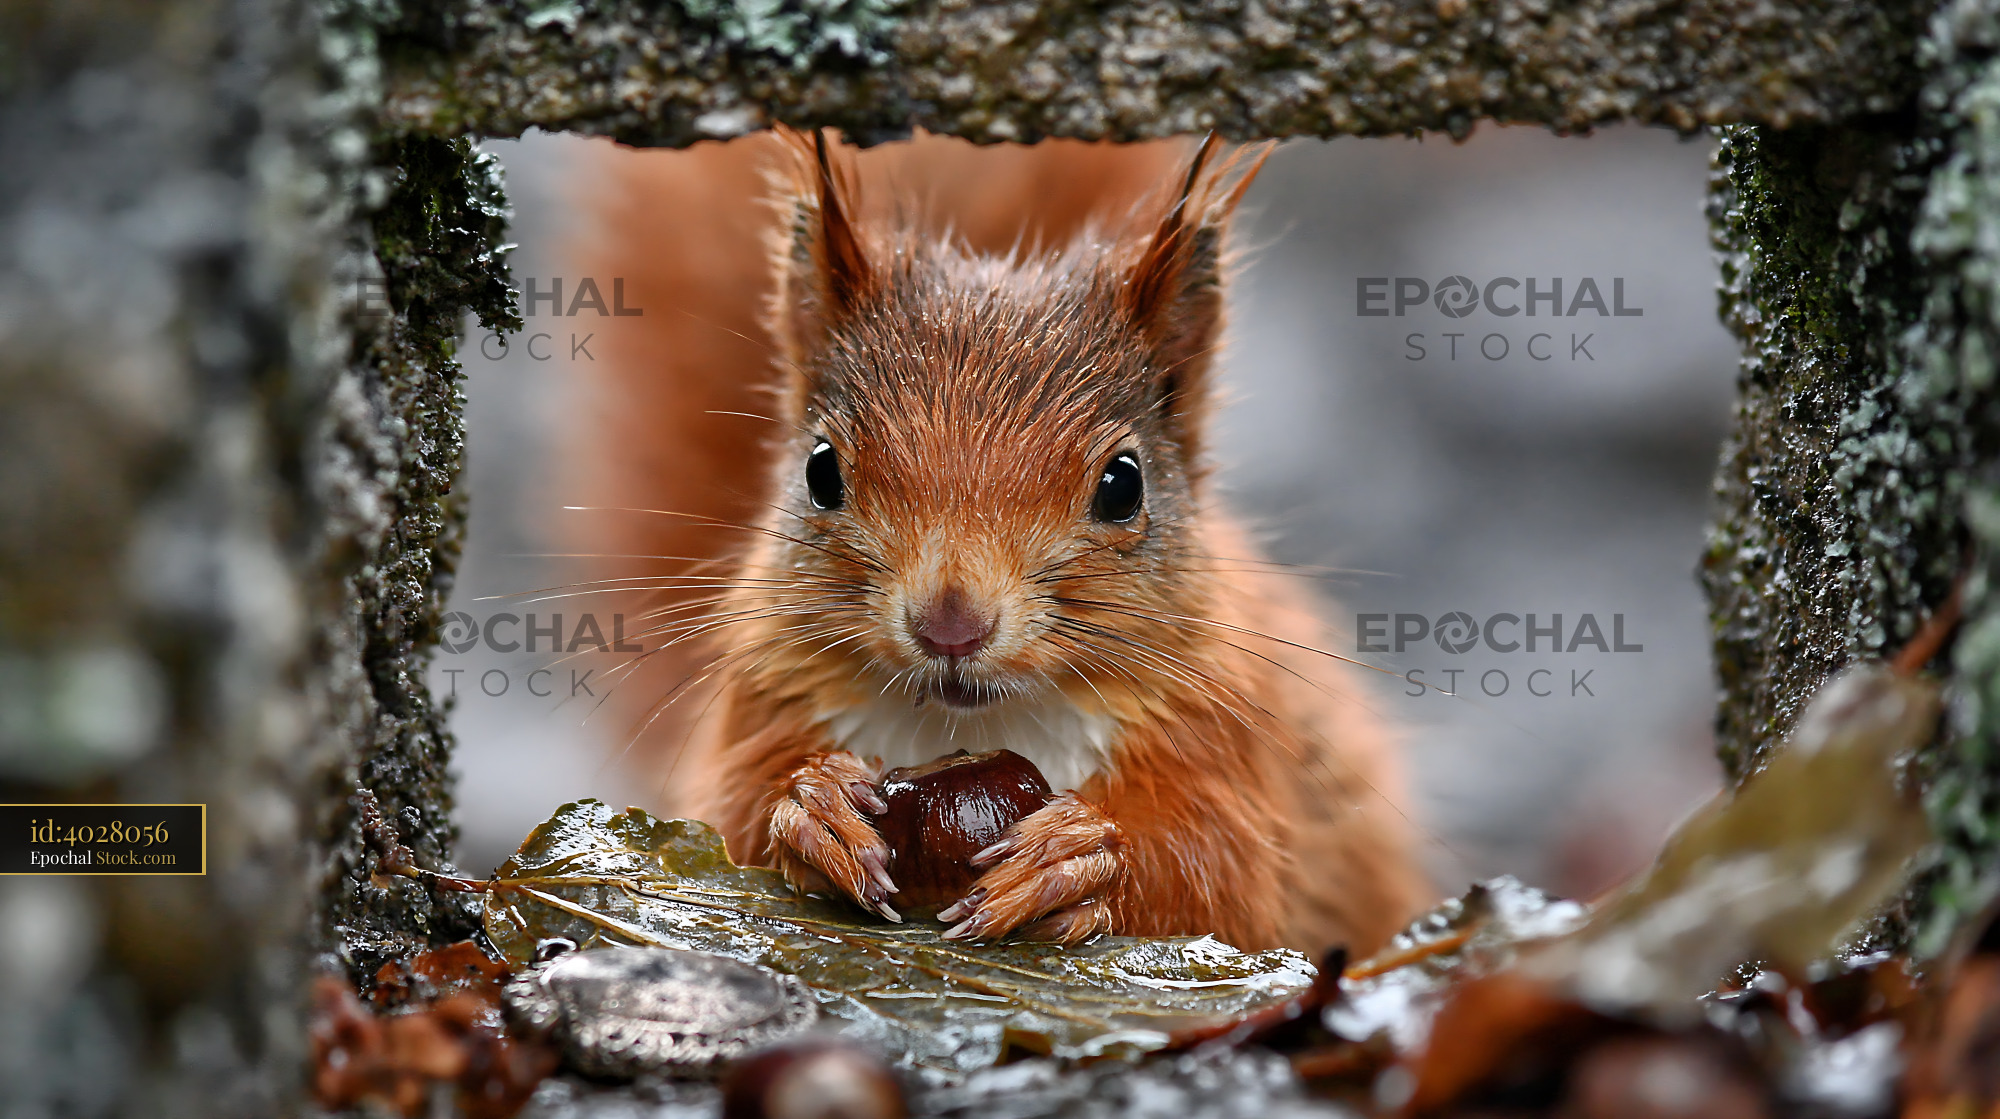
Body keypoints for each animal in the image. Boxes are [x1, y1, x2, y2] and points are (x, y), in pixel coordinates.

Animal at [566, 129, 1431, 958]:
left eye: (1124, 484)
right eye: (820, 470)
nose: (951, 623)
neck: (978, 725)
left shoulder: (1225, 740)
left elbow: (1220, 875)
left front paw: (1082, 855)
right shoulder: (764, 704)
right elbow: (725, 824)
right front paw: (813, 810)